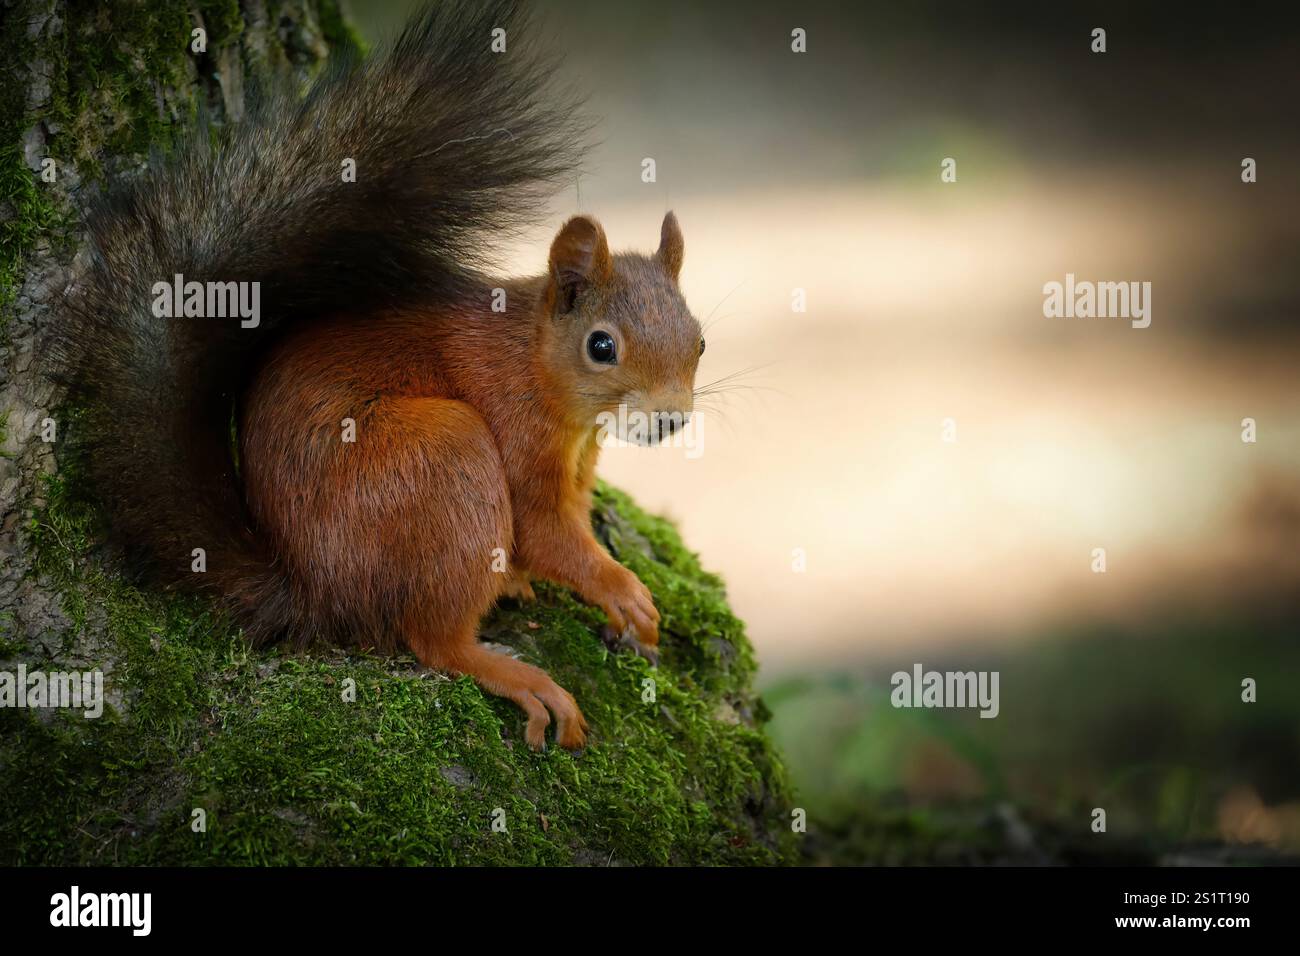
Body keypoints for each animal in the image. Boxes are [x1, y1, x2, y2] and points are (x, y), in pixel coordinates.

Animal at [53, 0, 702, 749]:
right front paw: (623, 589)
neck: (542, 373)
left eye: (700, 339)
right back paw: (513, 673)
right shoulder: (514, 431)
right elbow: (547, 535)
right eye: (602, 346)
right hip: (441, 458)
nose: (671, 419)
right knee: (434, 641)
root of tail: (314, 592)